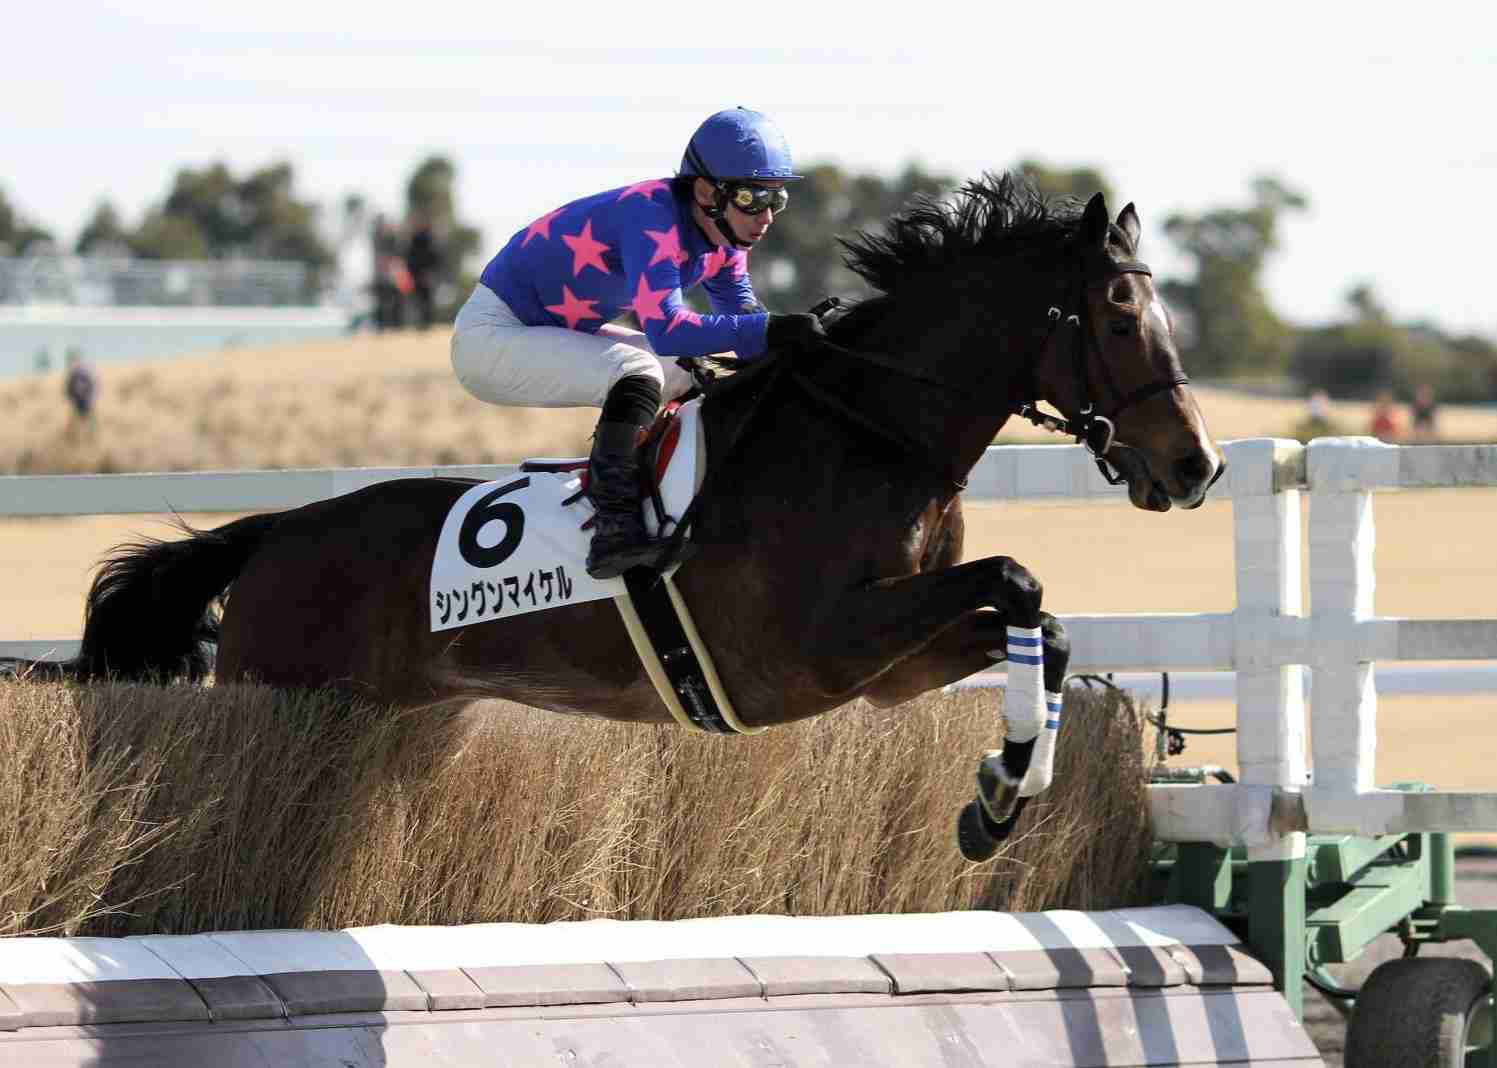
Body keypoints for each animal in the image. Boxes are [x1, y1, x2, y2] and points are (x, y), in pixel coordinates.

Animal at [6, 174, 1223, 860]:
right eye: (1122, 317)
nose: (1196, 465)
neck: (867, 430)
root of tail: (275, 534)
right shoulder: (813, 650)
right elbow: (1017, 578)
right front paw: (1004, 792)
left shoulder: (885, 664)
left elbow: (1042, 627)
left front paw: (1000, 799)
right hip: (278, 690)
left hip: (400, 713)